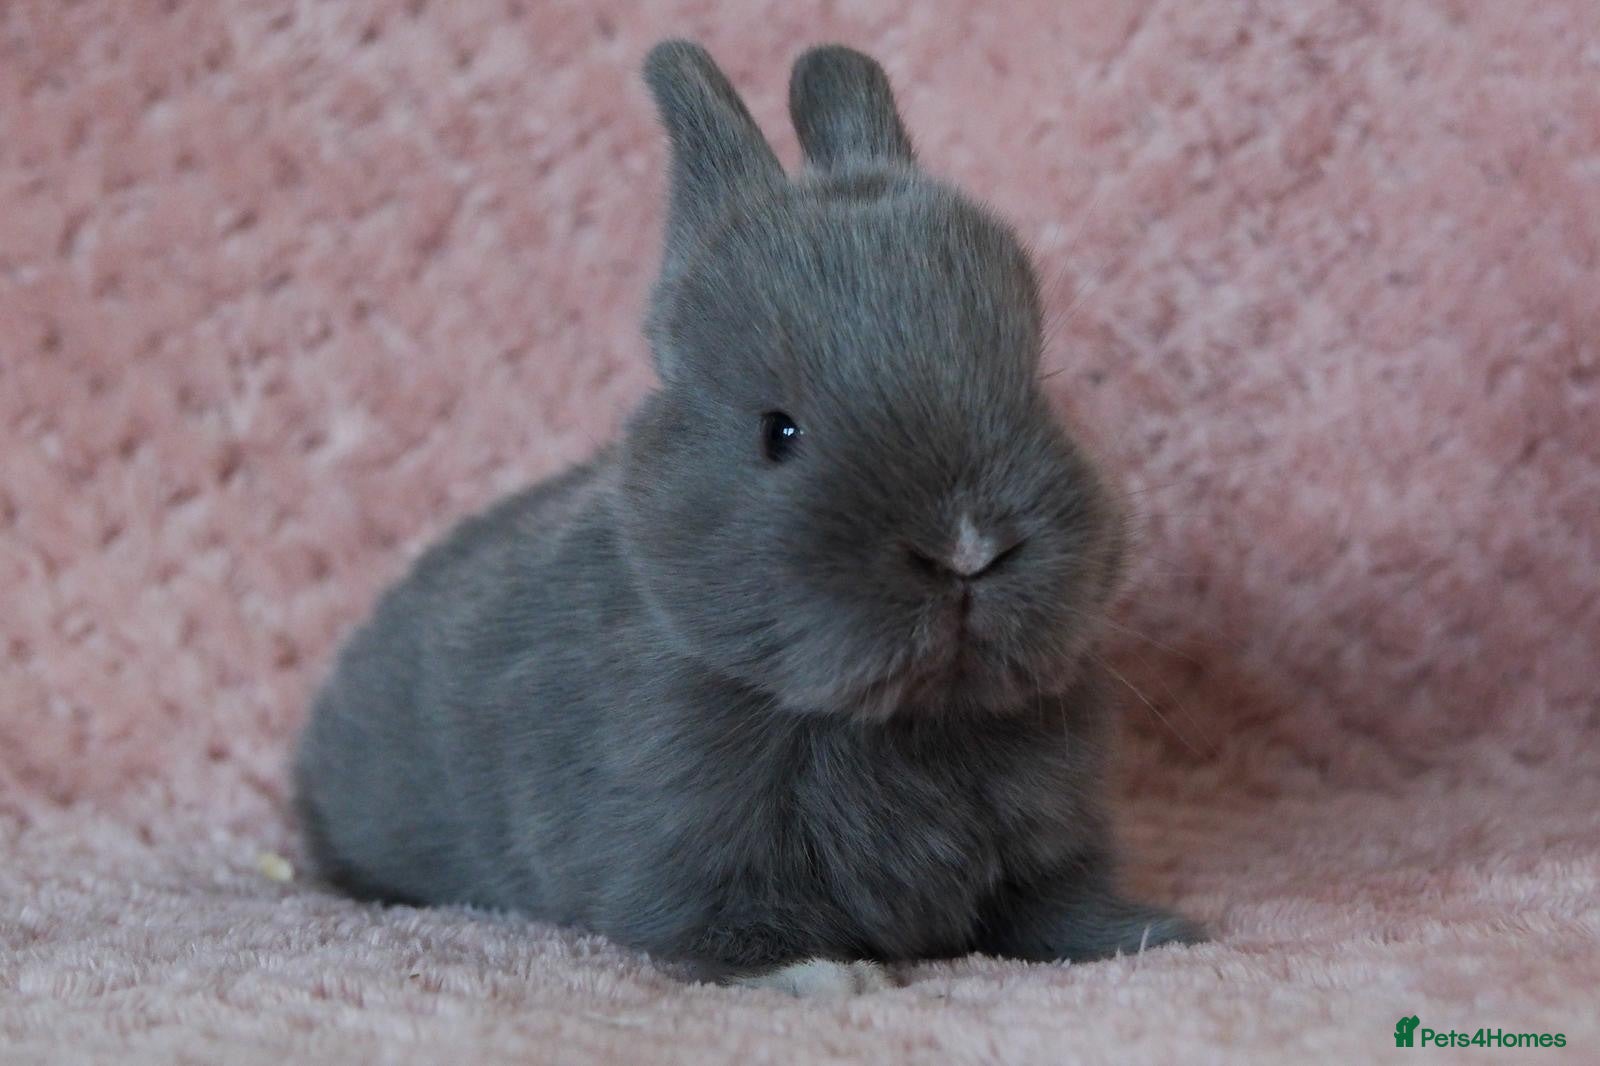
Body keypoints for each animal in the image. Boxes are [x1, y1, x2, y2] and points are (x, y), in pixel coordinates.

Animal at [293, 39, 1202, 995]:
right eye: (779, 433)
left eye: (1035, 387)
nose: (967, 548)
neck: (903, 720)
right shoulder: (693, 850)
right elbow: (734, 932)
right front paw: (823, 977)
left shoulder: (1044, 839)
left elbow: (1054, 906)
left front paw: (1149, 935)